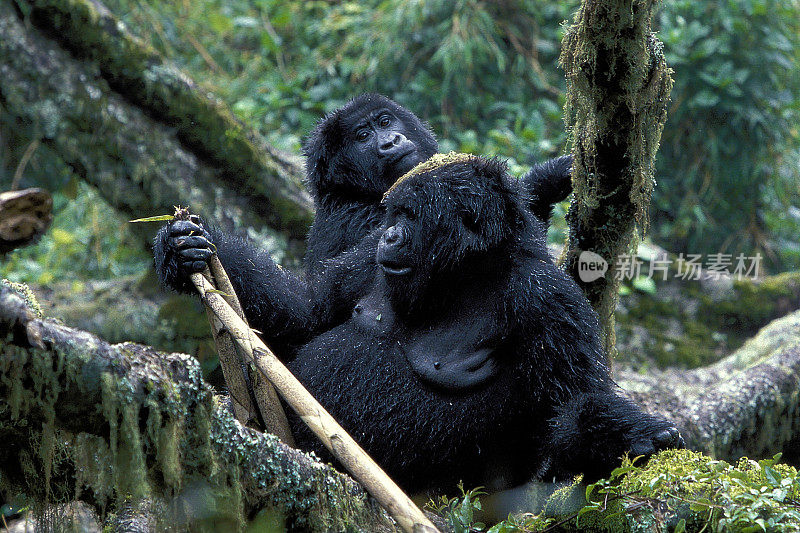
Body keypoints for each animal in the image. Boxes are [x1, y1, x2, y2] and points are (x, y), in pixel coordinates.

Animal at [153, 94, 572, 360]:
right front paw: (177, 251)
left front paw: (549, 176)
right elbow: (314, 308)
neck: (351, 189)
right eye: (363, 136)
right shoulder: (369, 221)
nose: (390, 141)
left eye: (385, 122)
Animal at [288, 154, 680, 494]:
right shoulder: (368, 255)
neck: (467, 274)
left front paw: (628, 438)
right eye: (395, 215)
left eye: (411, 217)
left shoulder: (548, 298)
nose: (390, 236)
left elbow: (571, 407)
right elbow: (310, 313)